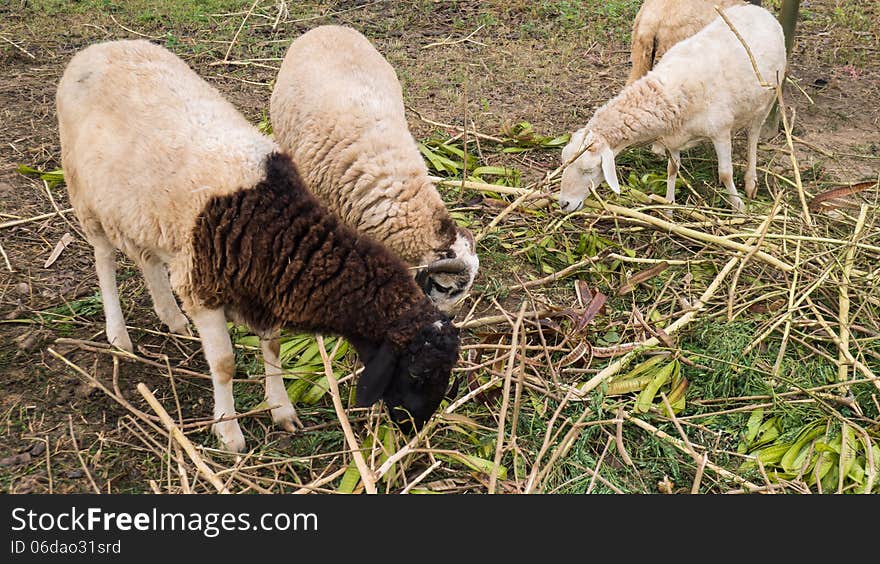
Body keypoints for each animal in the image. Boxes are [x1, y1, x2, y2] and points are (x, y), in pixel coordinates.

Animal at [57, 38, 460, 454]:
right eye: (417, 371)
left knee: (147, 260)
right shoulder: (203, 289)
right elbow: (224, 364)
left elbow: (274, 349)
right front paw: (229, 432)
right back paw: (118, 335)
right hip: (84, 193)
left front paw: (281, 410)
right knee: (104, 259)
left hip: (139, 213)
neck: (277, 229)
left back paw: (172, 318)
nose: (416, 426)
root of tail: (99, 48)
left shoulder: (263, 291)